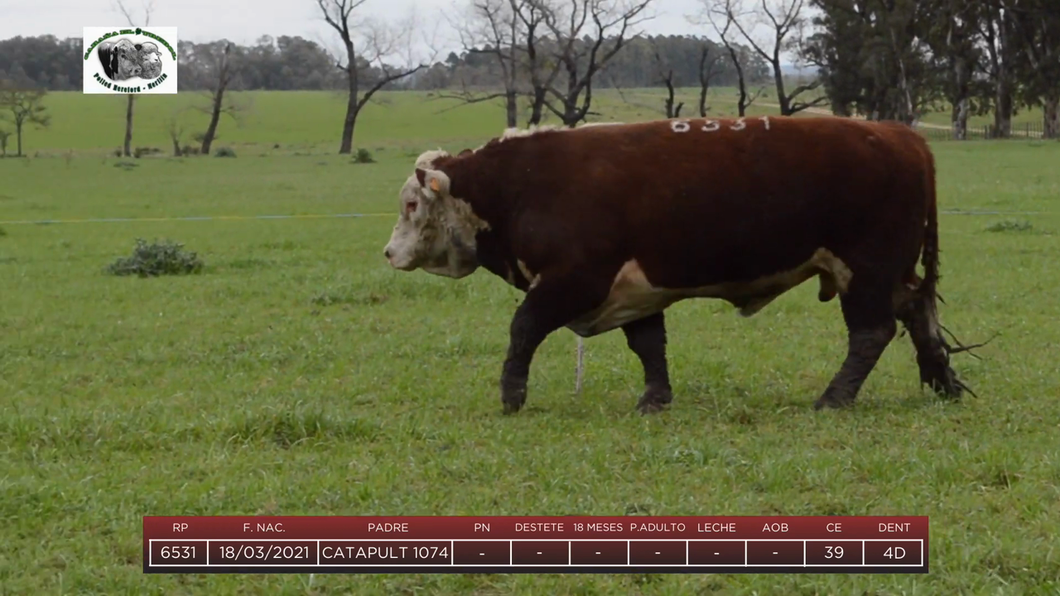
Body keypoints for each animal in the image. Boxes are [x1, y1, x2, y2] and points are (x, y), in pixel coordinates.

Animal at [385, 116, 970, 413]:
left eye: (411, 205)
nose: (389, 252)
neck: (520, 185)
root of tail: (902, 135)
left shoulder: (575, 280)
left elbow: (524, 328)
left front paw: (512, 396)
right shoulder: (633, 291)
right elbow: (649, 346)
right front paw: (655, 399)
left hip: (864, 269)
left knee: (872, 332)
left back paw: (834, 398)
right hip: (889, 272)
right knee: (918, 311)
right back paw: (944, 381)